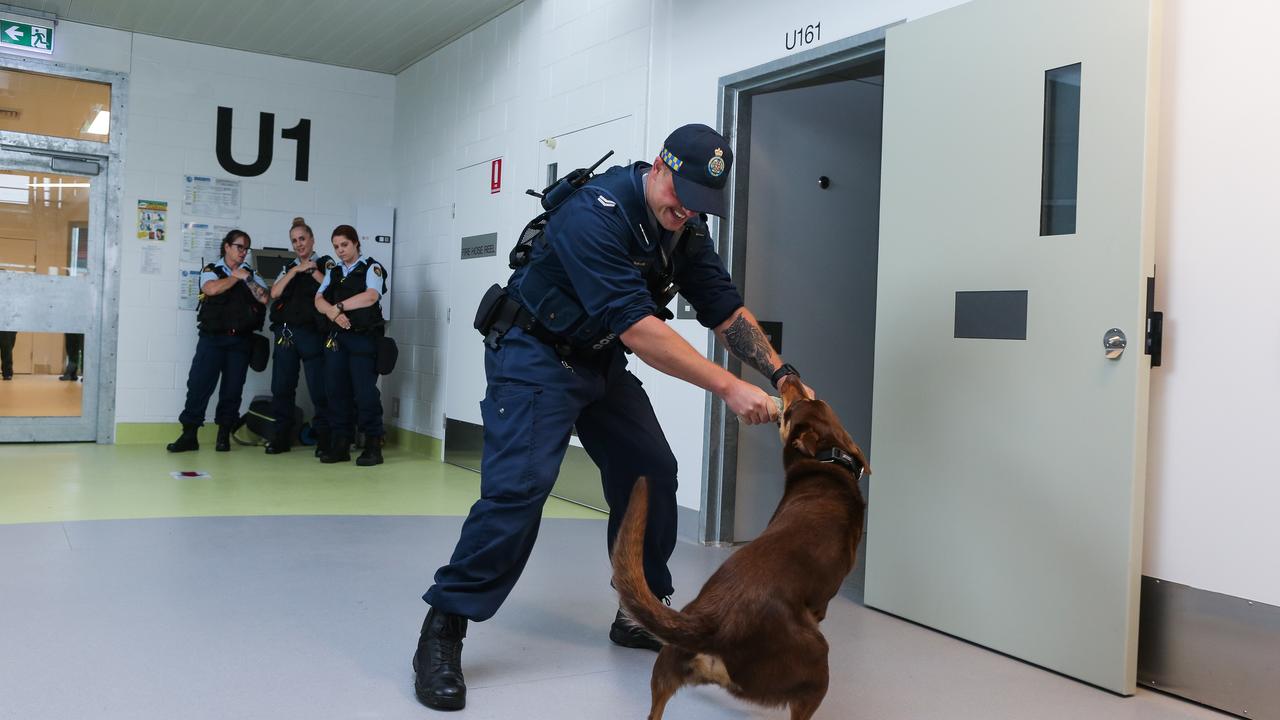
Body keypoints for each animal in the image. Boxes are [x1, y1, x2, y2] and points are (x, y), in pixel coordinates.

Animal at [609, 379, 870, 712]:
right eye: (792, 409)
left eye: (811, 399)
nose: (790, 379)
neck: (826, 463)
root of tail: (711, 622)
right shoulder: (821, 601)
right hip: (814, 668)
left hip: (666, 668)